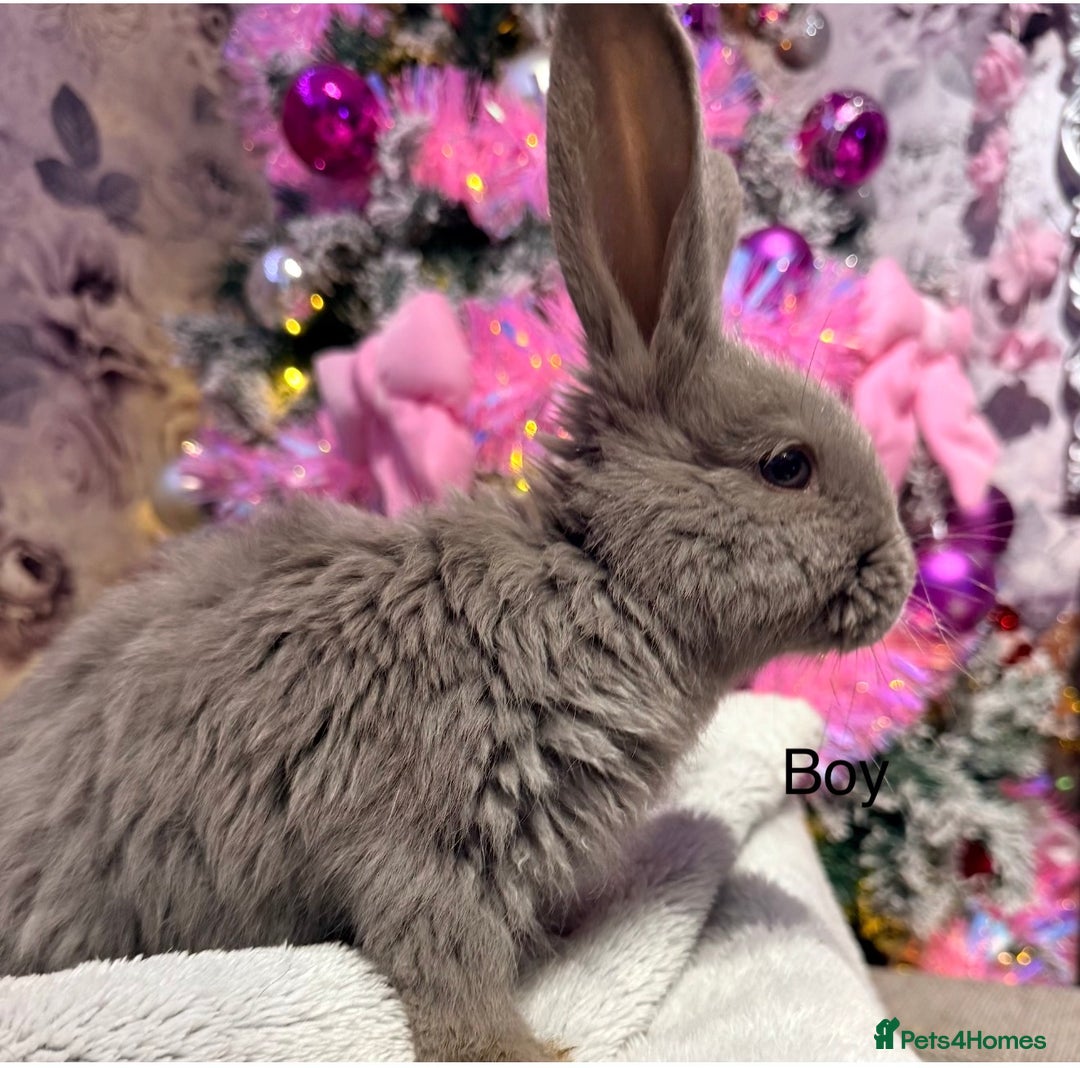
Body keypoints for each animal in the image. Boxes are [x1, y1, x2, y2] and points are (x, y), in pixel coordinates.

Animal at [0, 5, 915, 1062]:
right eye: (786, 466)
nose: (904, 578)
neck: (596, 575)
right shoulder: (430, 838)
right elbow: (444, 964)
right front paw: (529, 1049)